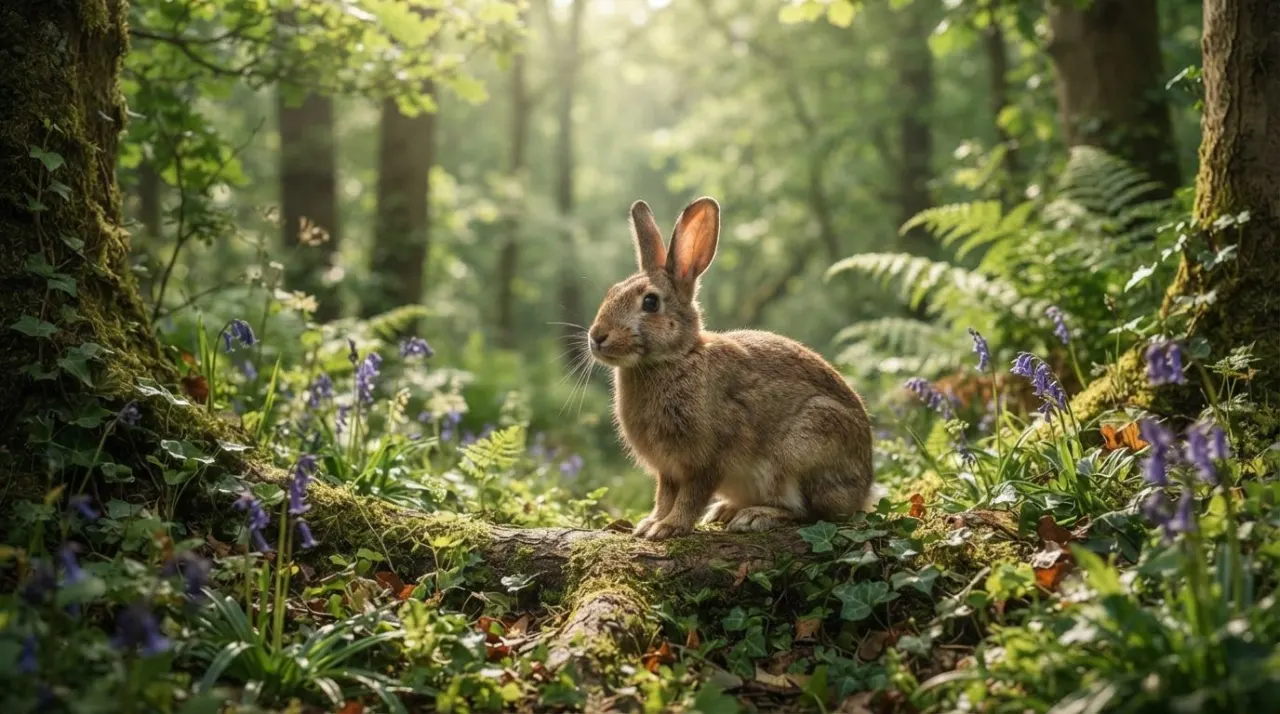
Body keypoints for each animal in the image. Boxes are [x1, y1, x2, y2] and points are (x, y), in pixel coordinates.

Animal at [587, 196, 878, 541]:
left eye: (650, 303)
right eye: (611, 292)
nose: (596, 336)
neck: (676, 358)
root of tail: (865, 488)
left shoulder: (708, 459)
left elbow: (691, 496)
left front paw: (668, 527)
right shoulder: (667, 470)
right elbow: (664, 495)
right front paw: (650, 523)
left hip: (805, 446)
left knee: (810, 513)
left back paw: (755, 516)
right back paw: (726, 510)